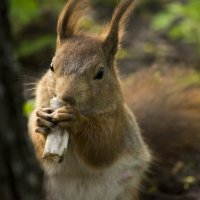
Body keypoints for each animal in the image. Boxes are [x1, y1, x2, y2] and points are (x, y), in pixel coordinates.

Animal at [28, 0, 152, 200]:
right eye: (51, 66)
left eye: (100, 73)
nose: (67, 97)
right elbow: (36, 143)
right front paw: (41, 121)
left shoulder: (116, 122)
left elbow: (102, 147)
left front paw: (74, 120)